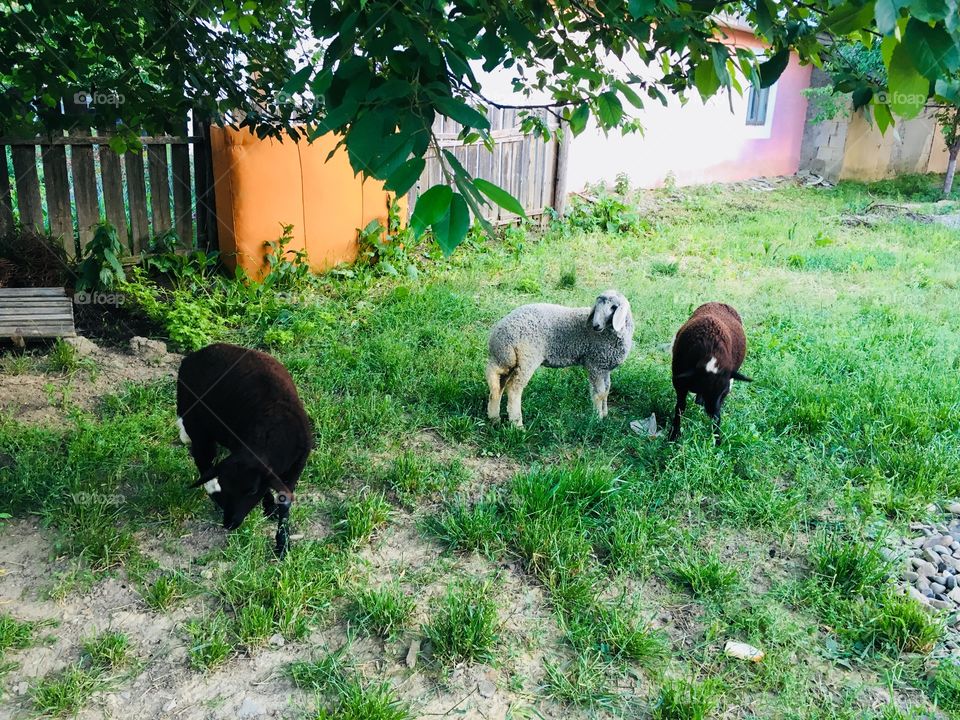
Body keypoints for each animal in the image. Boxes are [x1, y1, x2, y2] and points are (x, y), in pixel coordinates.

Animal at [176, 343, 313, 556]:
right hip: (196, 425)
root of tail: (194, 355)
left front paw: (282, 543)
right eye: (227, 486)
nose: (229, 524)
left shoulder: (296, 467)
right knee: (203, 461)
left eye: (251, 491)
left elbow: (284, 501)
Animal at [486, 290, 634, 428]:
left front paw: (605, 414)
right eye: (597, 306)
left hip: (507, 361)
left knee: (497, 384)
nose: (595, 325)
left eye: (613, 307)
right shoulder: (595, 365)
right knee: (513, 389)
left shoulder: (604, 367)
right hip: (527, 359)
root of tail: (500, 336)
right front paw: (597, 418)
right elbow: (599, 393)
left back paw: (494, 418)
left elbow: (606, 391)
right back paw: (517, 424)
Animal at [669, 302, 751, 443]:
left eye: (723, 392)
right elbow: (680, 408)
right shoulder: (679, 383)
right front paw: (674, 435)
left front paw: (717, 438)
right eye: (704, 387)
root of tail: (719, 302)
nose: (712, 412)